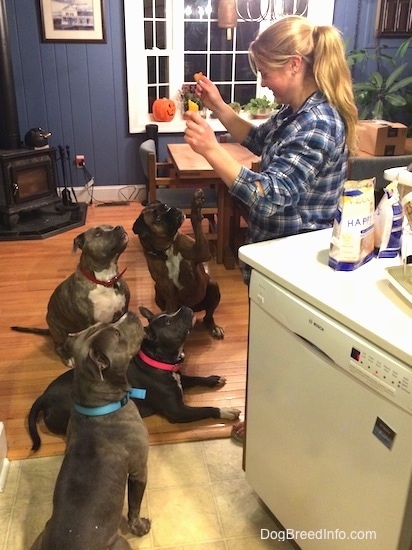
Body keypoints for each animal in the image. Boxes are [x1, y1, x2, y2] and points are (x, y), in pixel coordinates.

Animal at [11, 224, 130, 366]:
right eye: (98, 234)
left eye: (110, 227)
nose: (119, 227)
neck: (105, 281)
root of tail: (50, 330)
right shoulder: (89, 324)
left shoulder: (122, 313)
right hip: (60, 332)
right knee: (58, 346)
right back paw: (68, 357)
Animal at [29, 306, 240, 452]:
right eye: (168, 323)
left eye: (169, 313)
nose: (186, 307)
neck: (157, 361)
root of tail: (44, 397)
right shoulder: (177, 411)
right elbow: (206, 409)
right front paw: (226, 411)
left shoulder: (180, 379)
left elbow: (196, 378)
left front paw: (213, 379)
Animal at [30, 314, 150, 550]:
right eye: (117, 334)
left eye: (108, 325)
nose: (130, 314)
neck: (98, 406)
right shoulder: (139, 470)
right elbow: (135, 506)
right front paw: (140, 527)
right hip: (121, 543)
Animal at [132, 191, 224, 340]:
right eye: (158, 218)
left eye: (165, 206)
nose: (172, 209)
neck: (167, 250)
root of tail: (194, 308)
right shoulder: (170, 295)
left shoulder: (201, 252)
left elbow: (196, 222)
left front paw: (196, 205)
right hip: (158, 292)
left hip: (213, 285)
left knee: (208, 316)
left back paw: (214, 327)